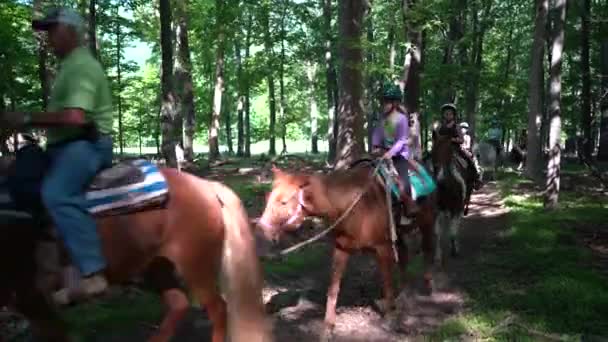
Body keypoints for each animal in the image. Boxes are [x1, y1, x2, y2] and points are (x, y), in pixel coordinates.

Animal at [0, 157, 270, 342]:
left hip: (195, 267)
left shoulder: (33, 298)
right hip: (157, 265)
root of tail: (206, 185)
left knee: (218, 309)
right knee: (179, 303)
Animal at [258, 164, 434, 340]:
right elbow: (333, 289)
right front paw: (328, 328)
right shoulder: (341, 249)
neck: (351, 205)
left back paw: (428, 288)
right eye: (268, 199)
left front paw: (390, 319)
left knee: (427, 250)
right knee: (404, 255)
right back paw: (404, 295)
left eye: (283, 202)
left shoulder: (383, 248)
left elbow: (388, 282)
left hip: (426, 223)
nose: (263, 233)